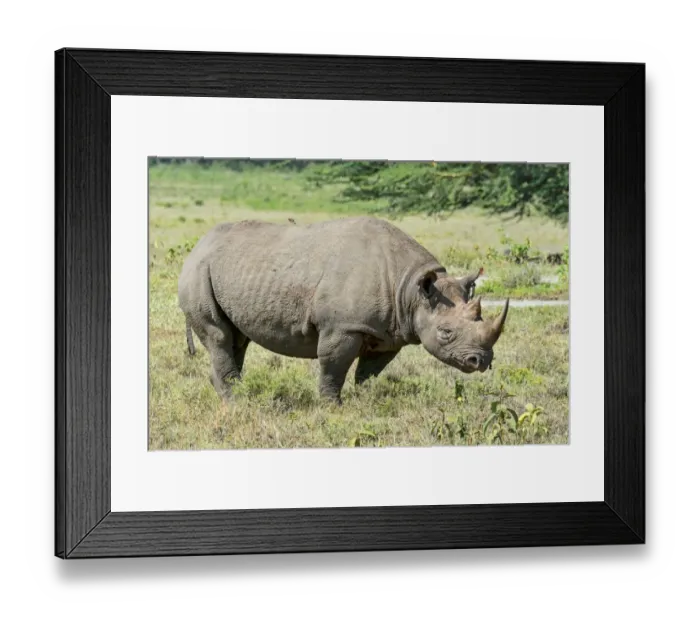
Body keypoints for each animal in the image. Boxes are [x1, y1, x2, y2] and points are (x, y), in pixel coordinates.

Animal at [178, 216, 509, 403]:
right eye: (445, 333)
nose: (481, 361)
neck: (410, 290)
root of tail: (198, 244)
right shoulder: (343, 327)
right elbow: (333, 368)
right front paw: (331, 408)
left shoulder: (389, 332)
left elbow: (370, 372)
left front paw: (365, 401)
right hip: (198, 270)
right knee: (219, 336)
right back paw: (237, 402)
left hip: (227, 270)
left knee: (237, 339)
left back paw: (236, 395)